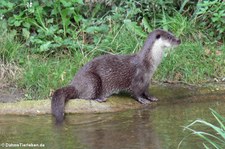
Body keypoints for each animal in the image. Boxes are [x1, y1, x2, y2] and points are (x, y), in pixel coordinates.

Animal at [51, 28, 181, 123]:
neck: (150, 63)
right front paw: (143, 100)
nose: (179, 40)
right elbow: (136, 92)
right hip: (92, 79)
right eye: (170, 37)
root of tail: (75, 82)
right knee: (84, 96)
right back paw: (100, 98)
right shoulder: (138, 78)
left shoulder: (148, 79)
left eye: (172, 33)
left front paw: (151, 97)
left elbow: (146, 91)